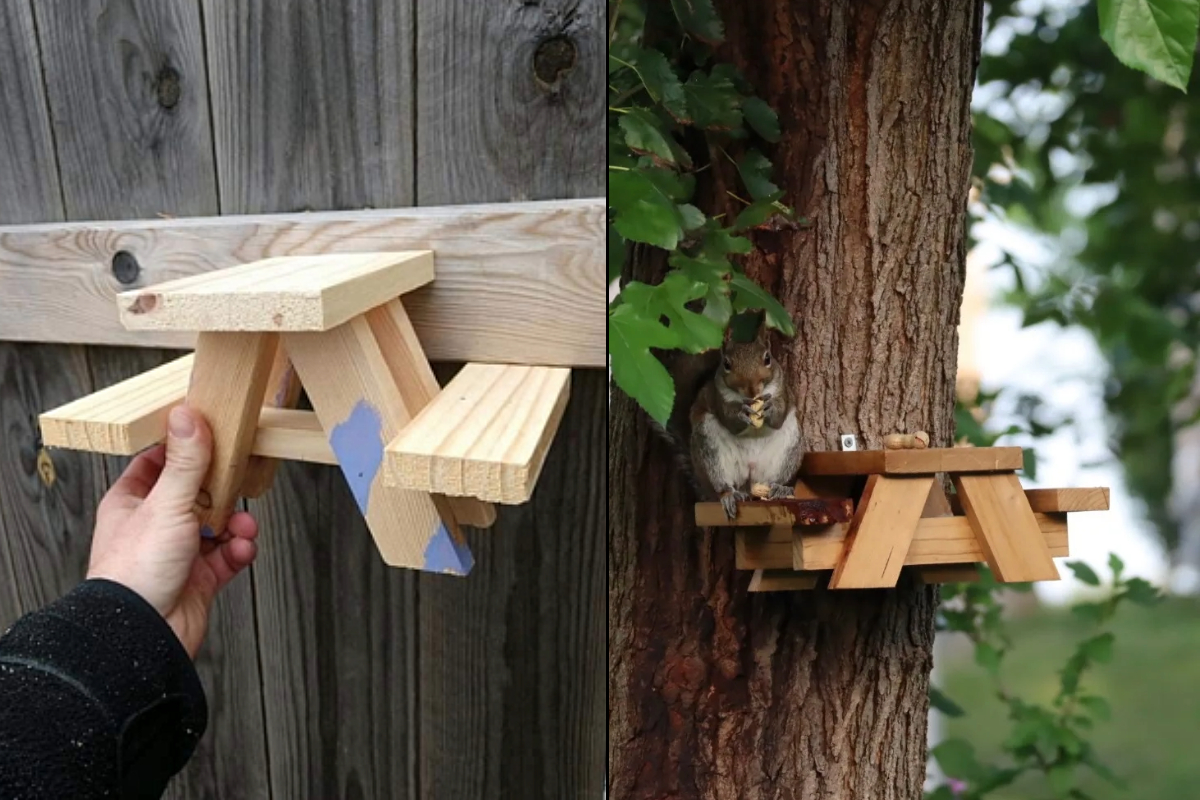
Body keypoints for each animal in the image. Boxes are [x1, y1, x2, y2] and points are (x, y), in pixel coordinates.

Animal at [656, 319, 803, 520]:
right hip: (710, 448)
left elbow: (779, 416)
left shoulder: (783, 391)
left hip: (788, 447)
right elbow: (730, 420)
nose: (752, 389)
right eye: (726, 364)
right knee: (723, 483)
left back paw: (779, 488)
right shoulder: (719, 399)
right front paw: (741, 413)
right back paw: (729, 495)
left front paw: (770, 408)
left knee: (773, 478)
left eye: (767, 359)